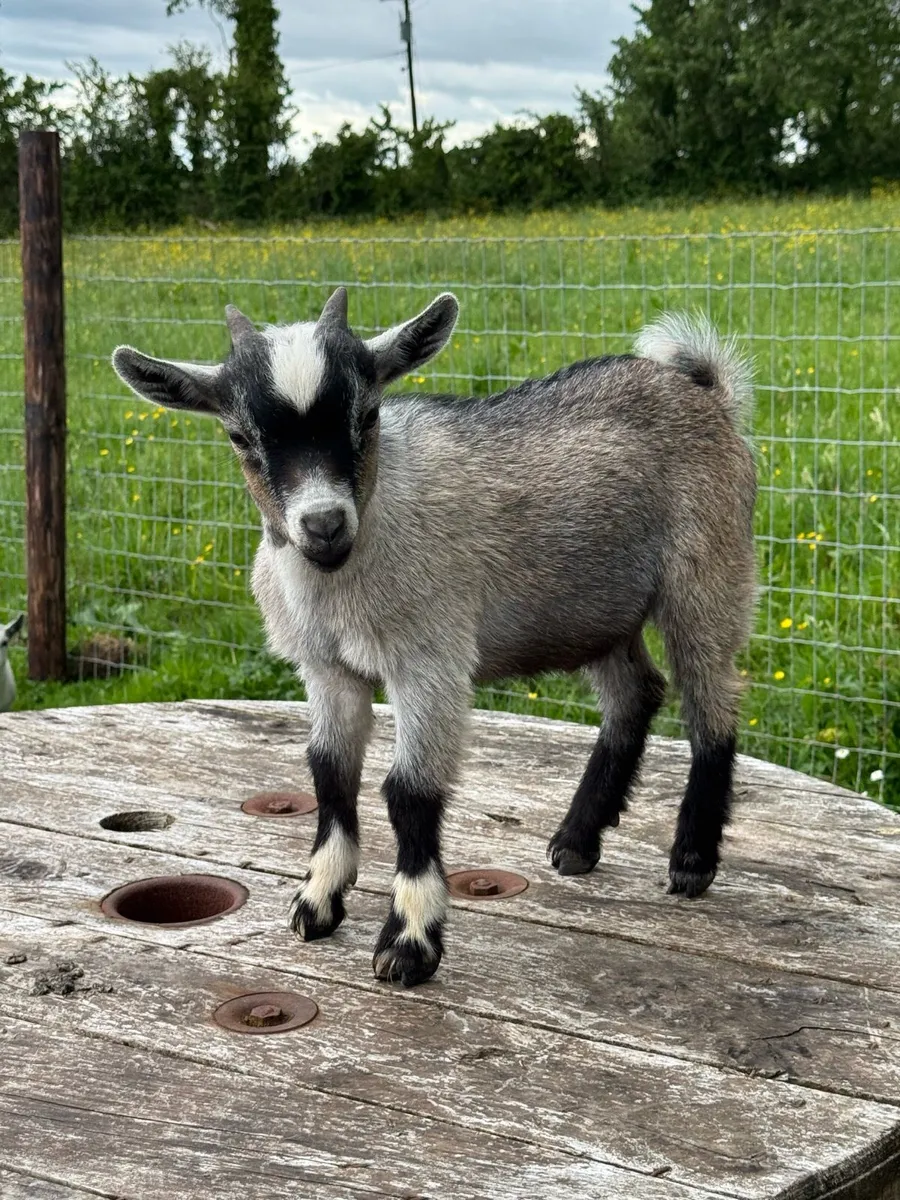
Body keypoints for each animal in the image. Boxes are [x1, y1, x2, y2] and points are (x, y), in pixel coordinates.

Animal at [112, 290, 757, 987]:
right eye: (239, 436)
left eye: (367, 415)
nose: (323, 525)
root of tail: (703, 389)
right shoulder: (327, 669)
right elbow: (329, 770)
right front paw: (317, 900)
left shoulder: (429, 660)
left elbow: (409, 792)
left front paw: (410, 940)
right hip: (597, 612)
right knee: (636, 694)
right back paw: (576, 841)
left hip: (708, 572)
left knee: (712, 704)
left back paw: (690, 859)